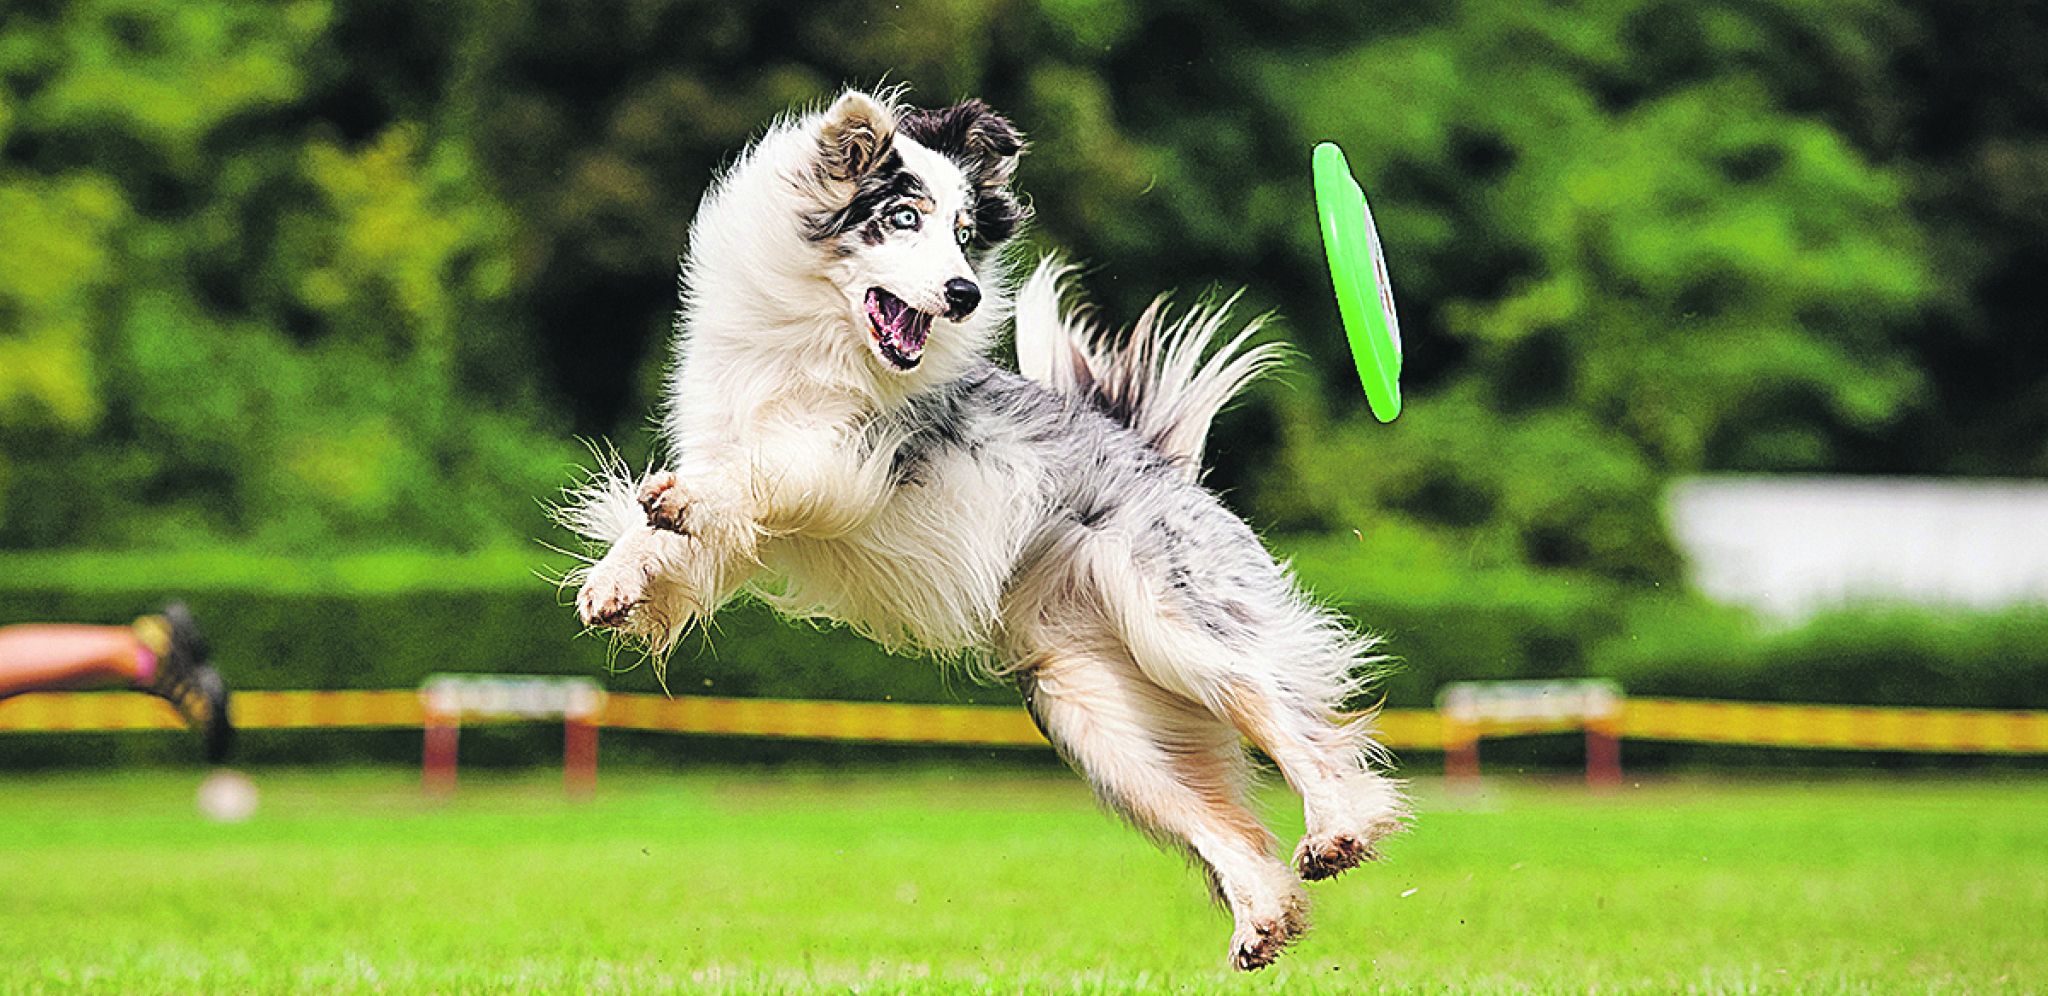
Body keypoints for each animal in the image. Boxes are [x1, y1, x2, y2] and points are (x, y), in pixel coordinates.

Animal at [569, 89, 1417, 967]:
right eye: (905, 217)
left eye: (965, 232)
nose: (965, 293)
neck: (810, 334)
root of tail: (1160, 460)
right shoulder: (738, 486)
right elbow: (673, 534)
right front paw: (615, 580)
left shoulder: (851, 456)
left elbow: (759, 471)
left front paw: (680, 502)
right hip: (1094, 714)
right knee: (1218, 821)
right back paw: (1263, 917)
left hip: (1177, 625)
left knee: (1290, 719)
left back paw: (1339, 827)